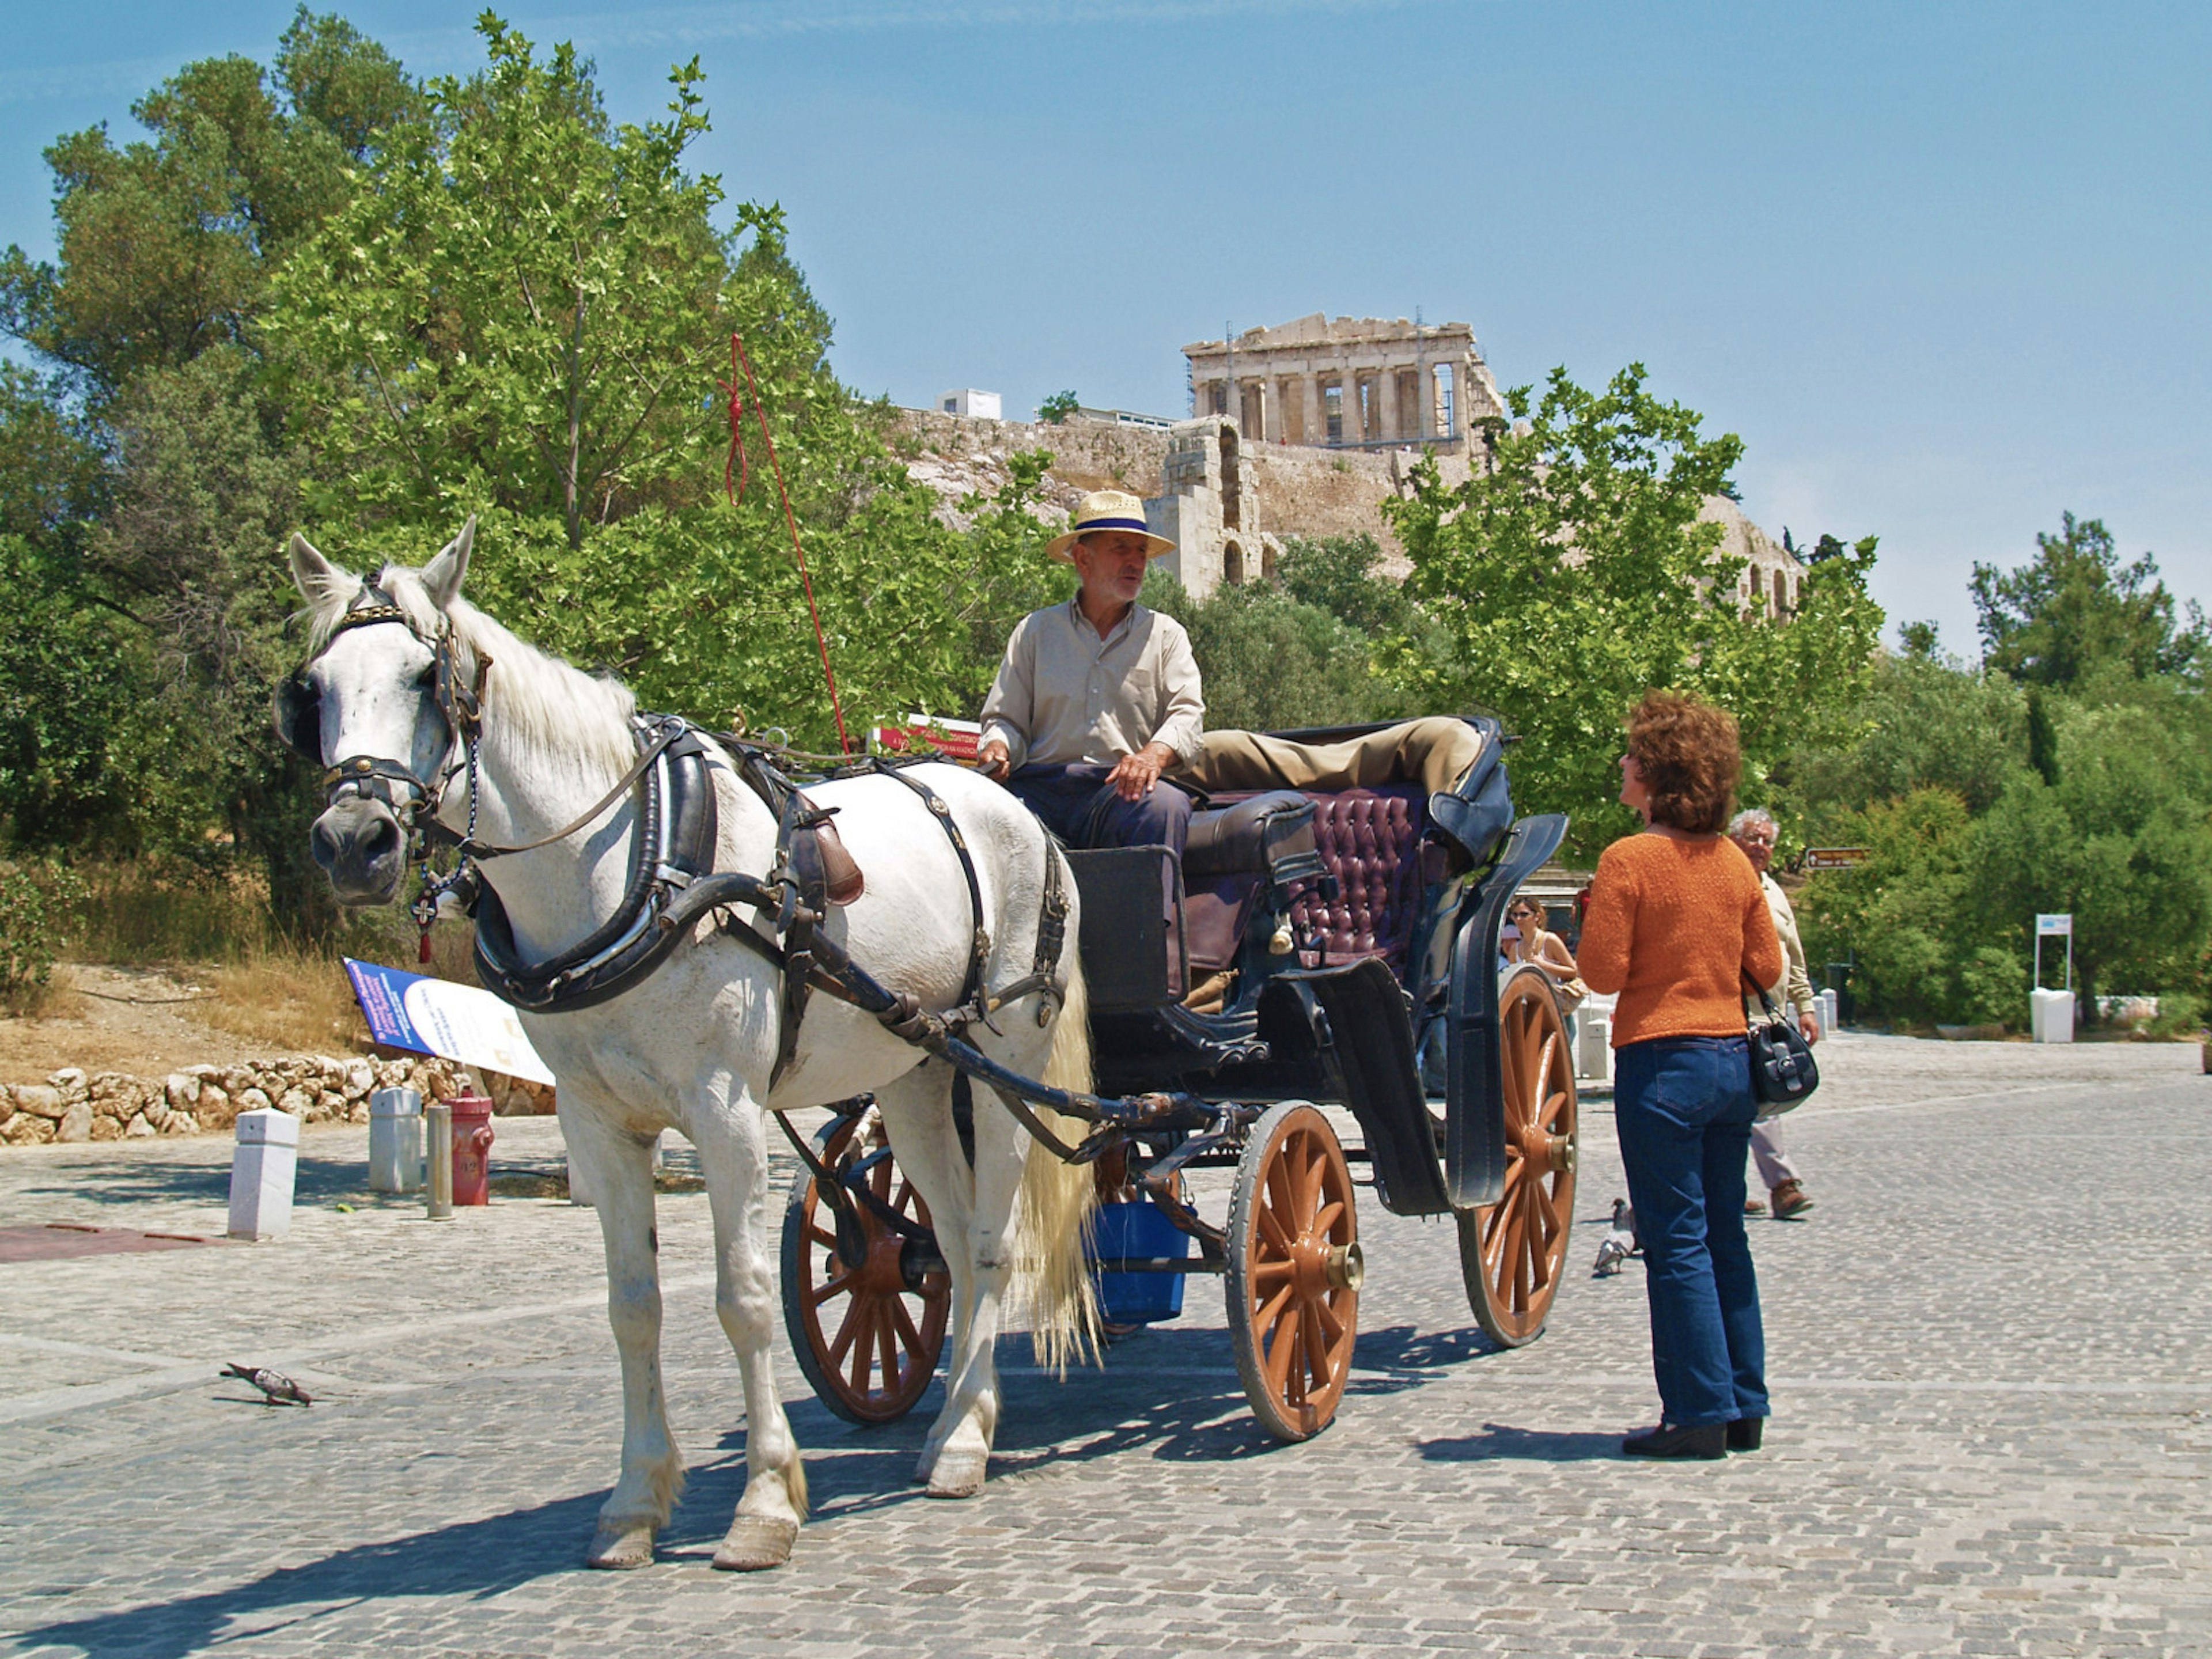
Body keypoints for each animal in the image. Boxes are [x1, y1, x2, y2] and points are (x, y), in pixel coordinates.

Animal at [285, 526, 1097, 1575]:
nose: (354, 841)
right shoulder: (595, 1122)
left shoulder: (725, 1110)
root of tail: (1014, 808)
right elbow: (633, 1305)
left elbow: (741, 1297)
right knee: (949, 1242)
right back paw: (955, 1418)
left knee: (994, 1242)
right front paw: (635, 1503)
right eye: (314, 689)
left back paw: (964, 1442)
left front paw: (765, 1502)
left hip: (1005, 1067)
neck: (632, 861)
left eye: (429, 677)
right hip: (916, 1072)